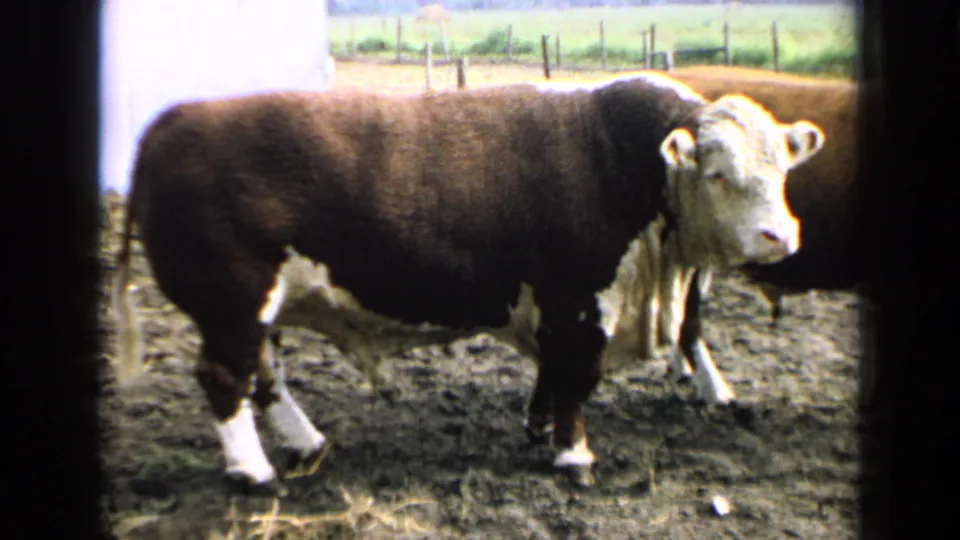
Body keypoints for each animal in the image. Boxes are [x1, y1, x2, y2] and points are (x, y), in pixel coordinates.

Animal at [109, 75, 825, 494]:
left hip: (261, 309)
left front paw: (540, 426)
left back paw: (305, 441)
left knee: (265, 374)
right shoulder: (579, 299)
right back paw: (253, 471)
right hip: (231, 302)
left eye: (784, 169)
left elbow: (550, 374)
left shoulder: (554, 303)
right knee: (224, 378)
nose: (781, 236)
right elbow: (575, 379)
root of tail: (172, 120)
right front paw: (573, 454)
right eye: (719, 174)